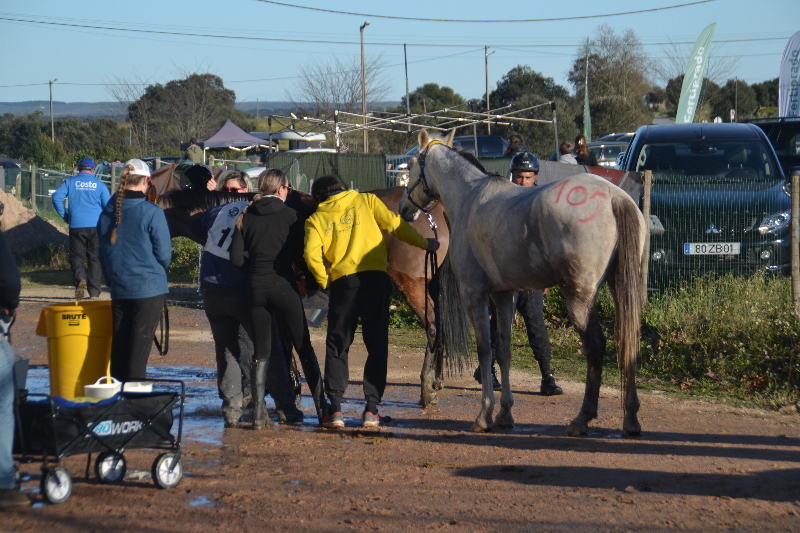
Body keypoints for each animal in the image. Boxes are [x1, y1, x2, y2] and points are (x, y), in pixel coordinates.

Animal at [146, 164, 454, 406]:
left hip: (412, 283)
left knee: (433, 326)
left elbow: (285, 344)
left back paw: (427, 387)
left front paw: (292, 388)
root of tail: (435, 208)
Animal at [396, 130, 648, 436]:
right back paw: (631, 419)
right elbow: (503, 350)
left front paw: (484, 415)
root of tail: (614, 197)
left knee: (596, 345)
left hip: (579, 298)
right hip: (619, 287)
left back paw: (582, 419)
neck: (469, 198)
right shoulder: (504, 295)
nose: (404, 209)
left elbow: (485, 349)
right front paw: (505, 413)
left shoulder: (475, 294)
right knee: (629, 342)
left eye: (411, 164)